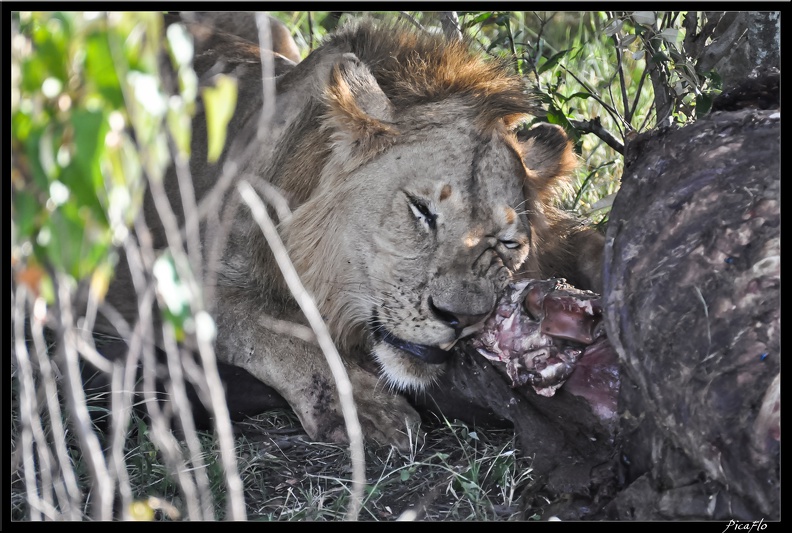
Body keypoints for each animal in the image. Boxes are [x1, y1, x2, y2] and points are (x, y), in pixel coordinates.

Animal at [102, 16, 604, 446]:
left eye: (508, 243)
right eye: (421, 210)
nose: (462, 319)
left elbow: (589, 242)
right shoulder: (181, 285)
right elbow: (282, 330)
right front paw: (366, 409)